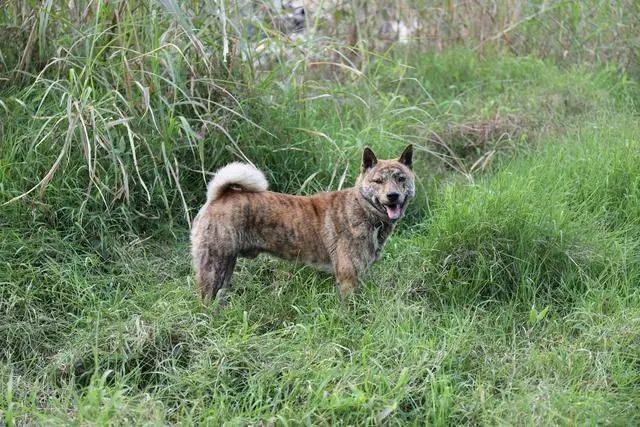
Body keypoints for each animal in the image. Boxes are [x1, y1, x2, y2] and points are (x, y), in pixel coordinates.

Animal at [190, 145, 416, 306]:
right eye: (378, 181)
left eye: (400, 178)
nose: (392, 195)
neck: (363, 209)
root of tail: (219, 196)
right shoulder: (348, 278)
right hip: (212, 266)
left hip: (227, 265)